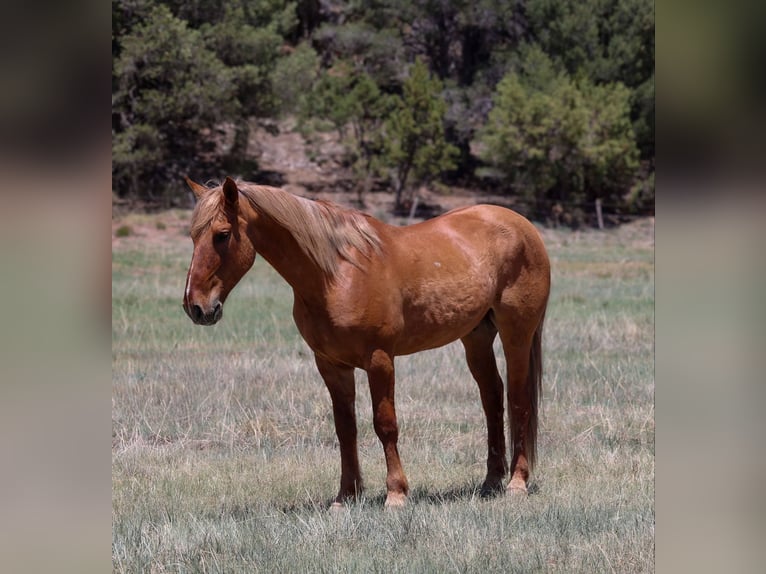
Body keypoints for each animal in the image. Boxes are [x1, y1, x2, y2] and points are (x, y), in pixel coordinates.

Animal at [182, 177, 550, 508]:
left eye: (222, 235)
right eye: (193, 236)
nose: (195, 307)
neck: (335, 274)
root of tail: (523, 226)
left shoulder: (379, 359)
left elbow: (385, 424)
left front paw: (396, 494)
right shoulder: (331, 365)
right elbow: (345, 428)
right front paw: (346, 496)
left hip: (516, 334)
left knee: (518, 399)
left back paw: (516, 483)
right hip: (476, 337)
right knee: (492, 398)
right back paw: (491, 481)